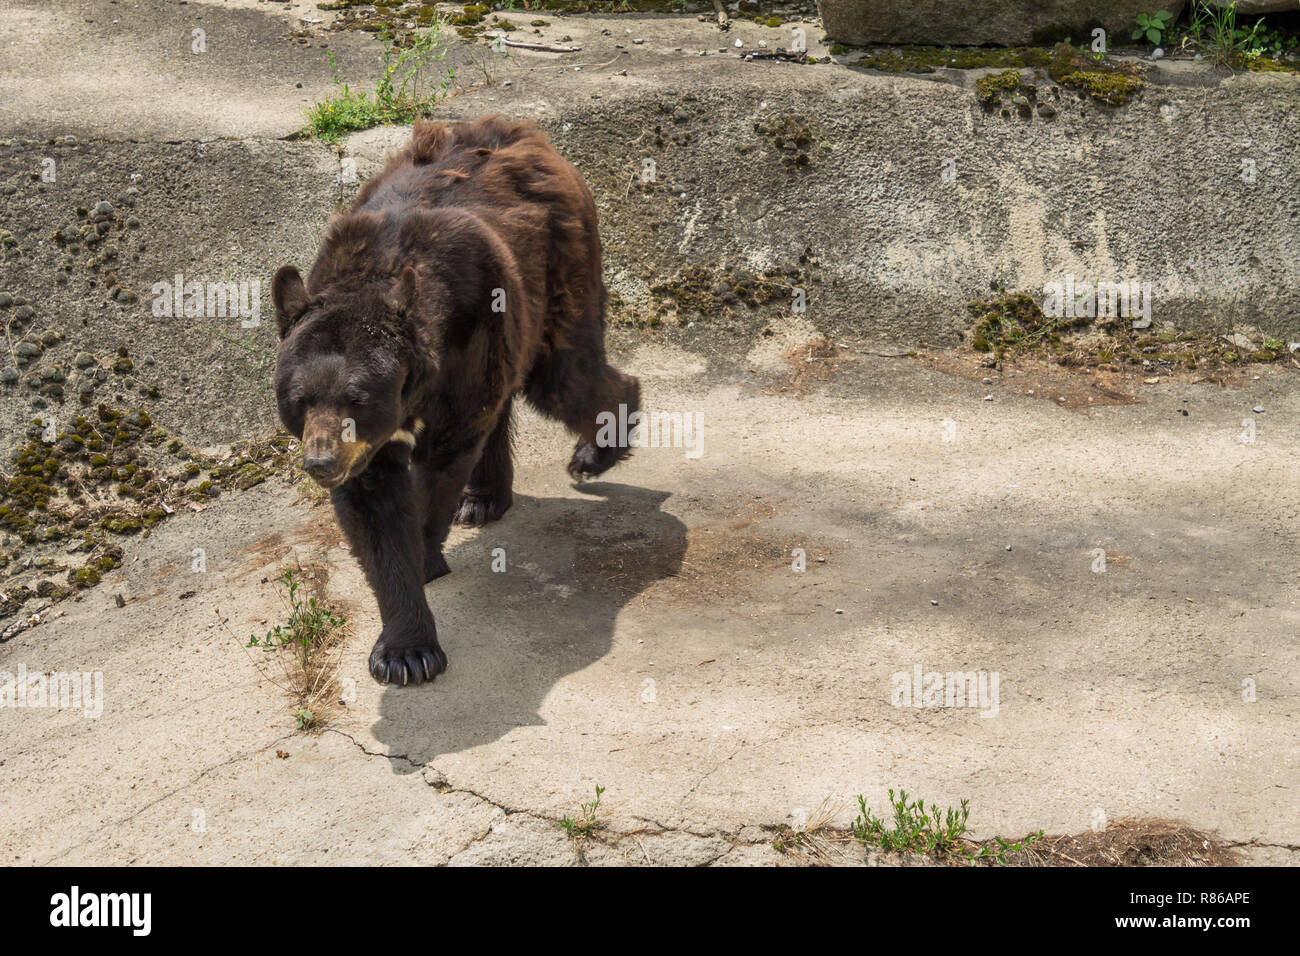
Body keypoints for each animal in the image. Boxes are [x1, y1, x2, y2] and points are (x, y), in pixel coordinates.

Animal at [271, 117, 637, 686]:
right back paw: (483, 497)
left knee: (566, 377)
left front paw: (425, 560)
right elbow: (374, 511)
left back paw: (598, 447)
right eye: (299, 398)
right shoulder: (367, 445)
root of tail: (528, 134)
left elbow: (443, 458)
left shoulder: (468, 333)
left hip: (556, 269)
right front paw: (404, 649)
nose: (321, 462)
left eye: (358, 396)